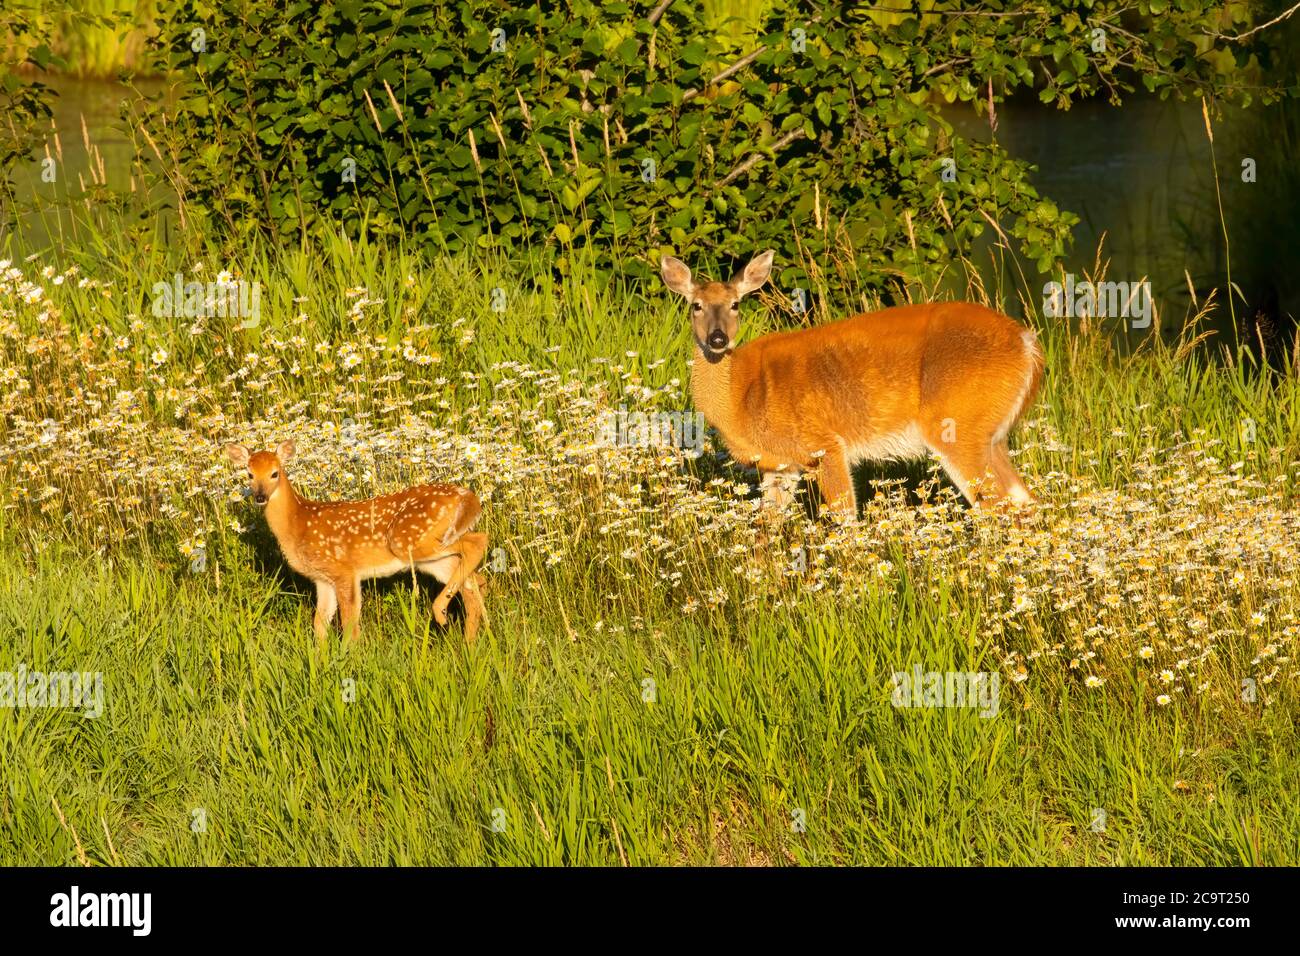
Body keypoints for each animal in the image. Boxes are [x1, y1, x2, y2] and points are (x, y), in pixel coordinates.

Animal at [225, 440, 487, 644]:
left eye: (275, 473)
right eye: (249, 474)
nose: (260, 496)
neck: (297, 524)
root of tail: (466, 495)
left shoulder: (344, 570)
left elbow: (349, 623)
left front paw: (351, 662)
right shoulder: (322, 579)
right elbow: (319, 623)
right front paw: (320, 663)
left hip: (411, 540)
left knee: (478, 542)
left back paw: (441, 613)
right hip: (429, 557)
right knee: (471, 581)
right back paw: (470, 641)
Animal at [659, 250, 1043, 517]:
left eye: (736, 304)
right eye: (695, 305)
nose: (718, 339)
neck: (741, 394)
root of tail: (1027, 344)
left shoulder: (825, 445)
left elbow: (846, 520)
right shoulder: (779, 465)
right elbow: (766, 528)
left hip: (957, 427)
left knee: (998, 504)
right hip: (992, 435)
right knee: (1025, 499)